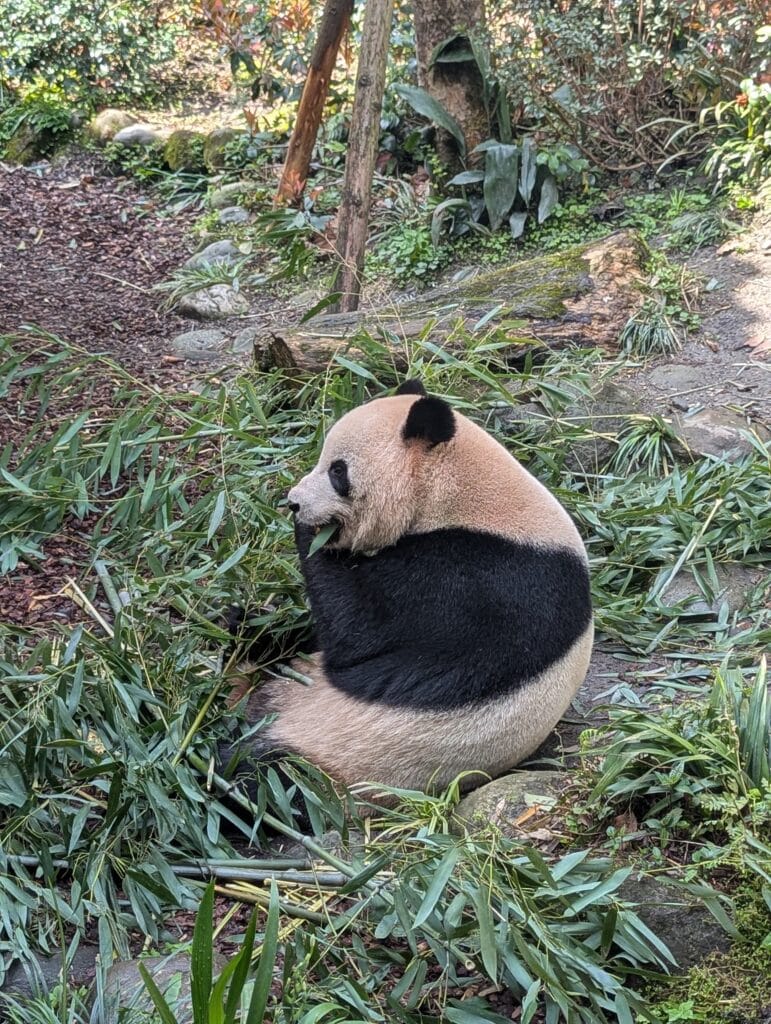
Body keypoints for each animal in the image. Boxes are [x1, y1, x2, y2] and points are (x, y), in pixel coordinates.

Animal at [226, 379, 593, 800]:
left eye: (338, 471)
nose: (294, 502)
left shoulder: (479, 576)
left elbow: (360, 629)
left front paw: (314, 532)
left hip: (334, 751)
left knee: (266, 778)